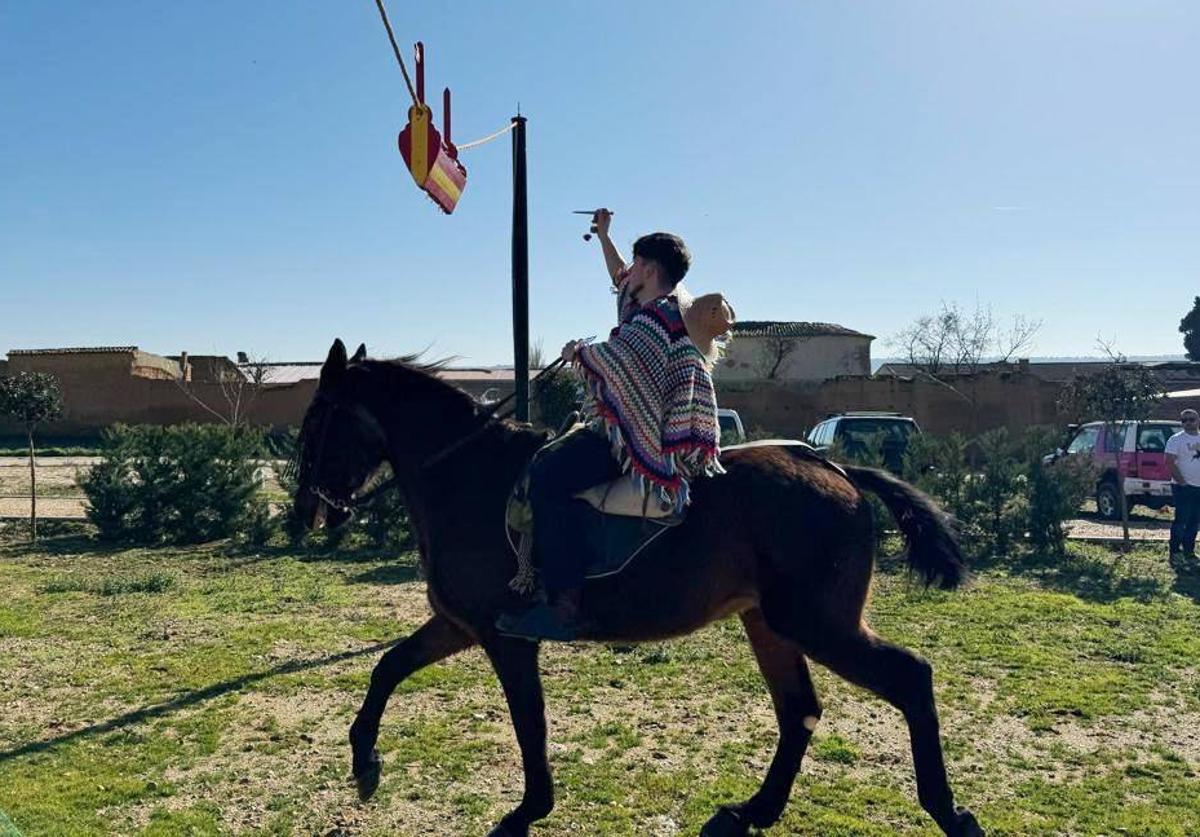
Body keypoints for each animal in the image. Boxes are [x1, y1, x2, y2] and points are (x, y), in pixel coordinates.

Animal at [295, 340, 979, 834]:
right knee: (799, 711)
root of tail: (834, 466)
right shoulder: (460, 626)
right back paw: (754, 811)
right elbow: (388, 666)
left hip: (817, 624)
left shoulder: (506, 639)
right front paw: (364, 758)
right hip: (770, 623)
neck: (468, 477)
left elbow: (528, 723)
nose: (308, 510)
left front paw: (530, 810)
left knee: (909, 678)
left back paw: (949, 812)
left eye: (318, 421)